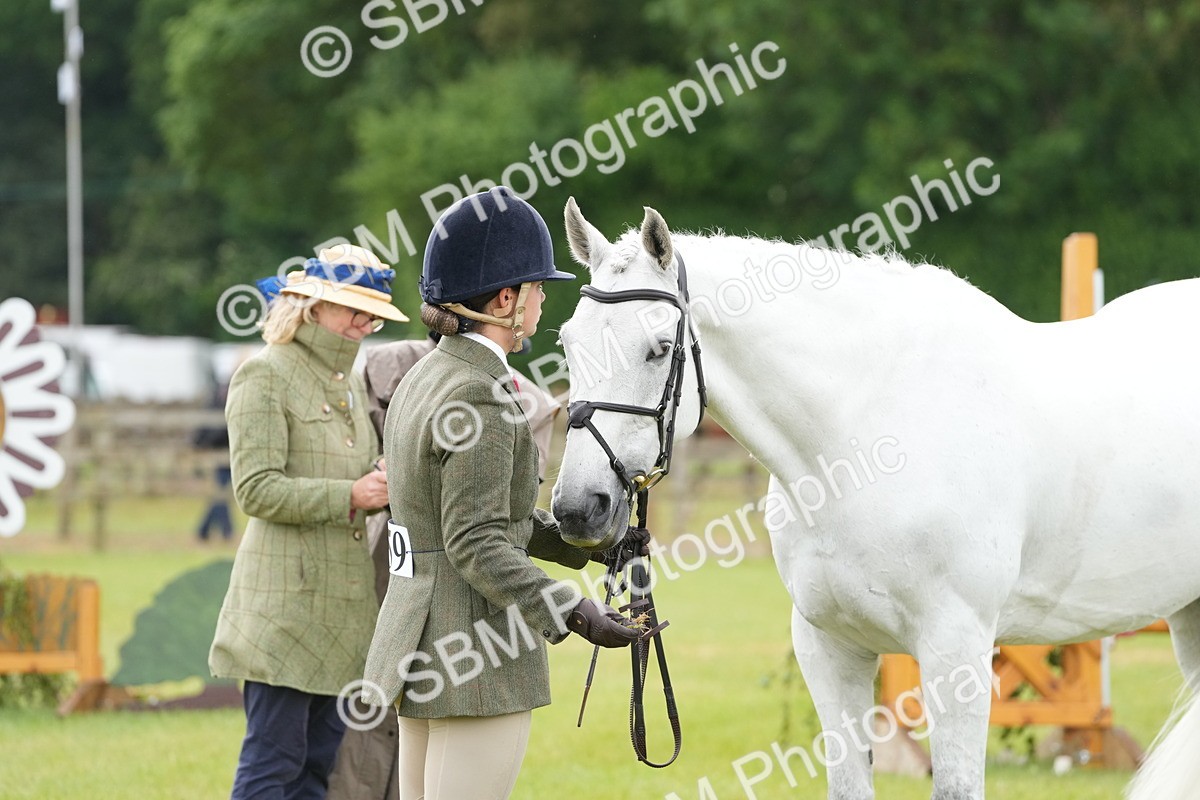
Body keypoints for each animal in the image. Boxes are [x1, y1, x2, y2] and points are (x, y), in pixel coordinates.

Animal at [548, 197, 1200, 800]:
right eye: (569, 343)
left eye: (659, 348)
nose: (579, 507)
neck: (863, 440)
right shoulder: (830, 647)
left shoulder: (956, 650)